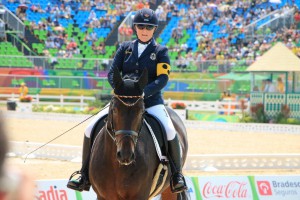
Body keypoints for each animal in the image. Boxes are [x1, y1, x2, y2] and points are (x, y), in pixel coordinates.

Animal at [89, 68, 189, 199]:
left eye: (141, 111)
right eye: (114, 109)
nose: (125, 154)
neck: (117, 166)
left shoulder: (140, 195)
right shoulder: (102, 196)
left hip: (170, 190)